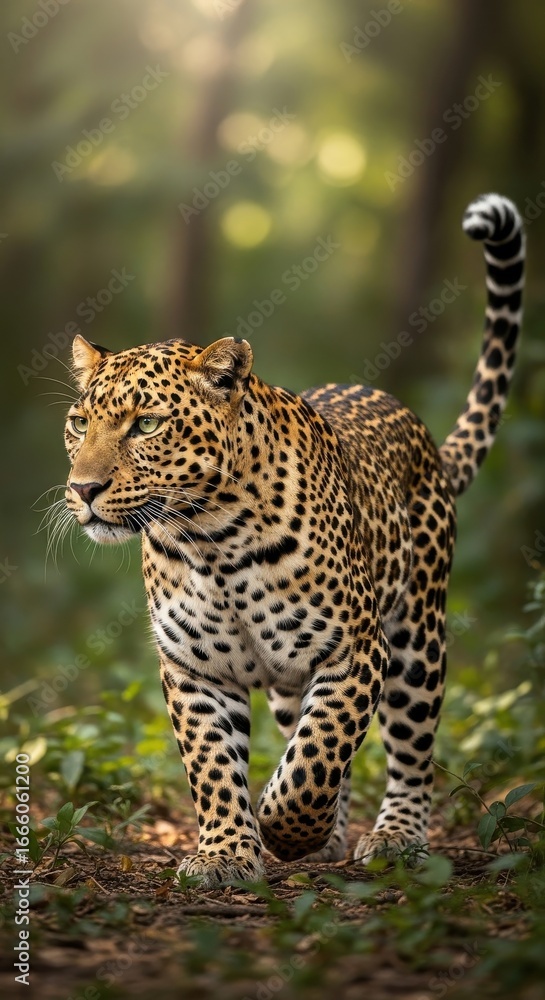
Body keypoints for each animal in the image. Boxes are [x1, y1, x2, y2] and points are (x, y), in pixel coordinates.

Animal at [62, 193, 524, 887]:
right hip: (292, 680)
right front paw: (226, 852)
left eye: (146, 424)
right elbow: (215, 765)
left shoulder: (355, 652)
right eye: (78, 422)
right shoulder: (194, 669)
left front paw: (284, 829)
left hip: (419, 638)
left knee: (409, 748)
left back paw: (396, 837)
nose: (83, 488)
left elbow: (316, 758)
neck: (210, 539)